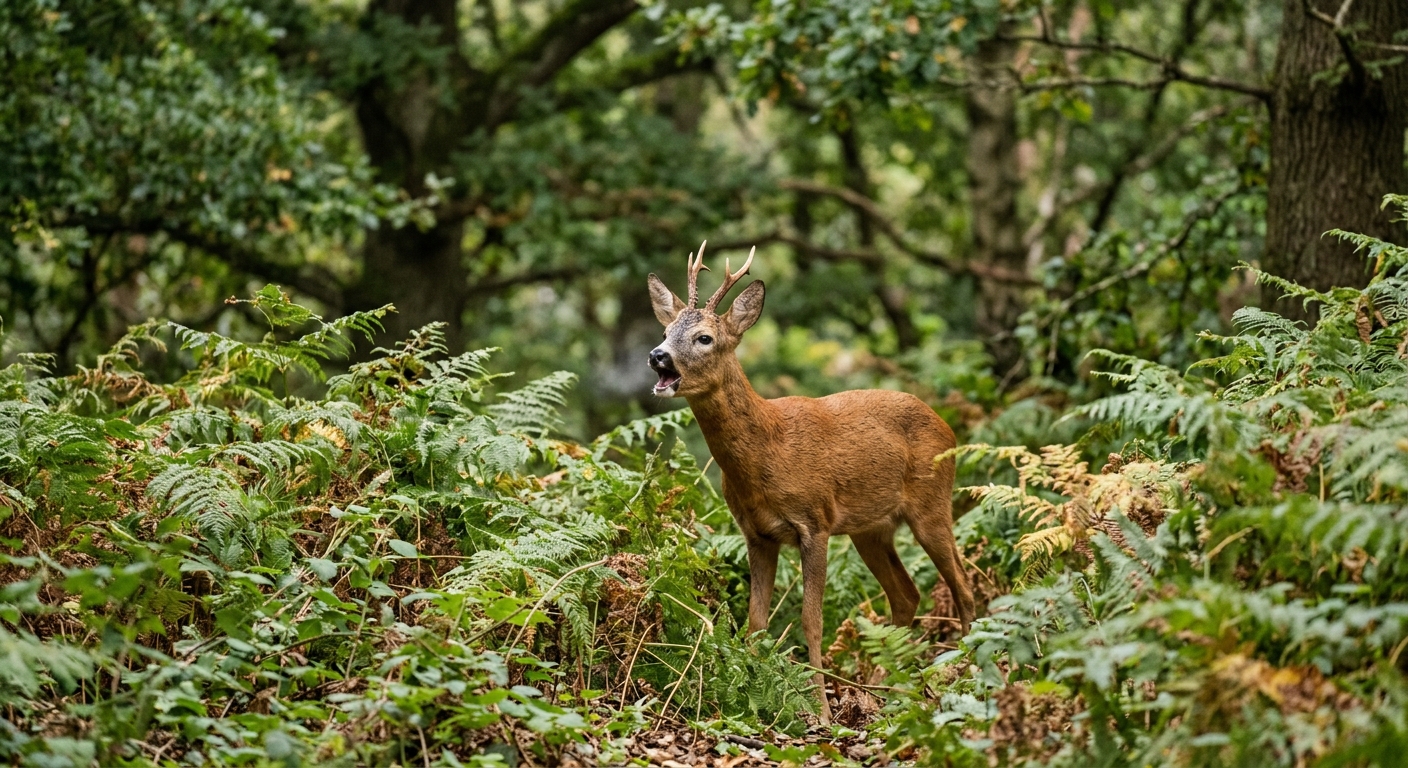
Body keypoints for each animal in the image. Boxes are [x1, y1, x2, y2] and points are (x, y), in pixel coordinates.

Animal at [646, 241, 976, 722]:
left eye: (704, 337)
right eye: (667, 329)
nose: (658, 355)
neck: (767, 453)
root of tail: (947, 426)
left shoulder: (814, 522)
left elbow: (811, 621)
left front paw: (819, 710)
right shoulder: (756, 534)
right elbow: (757, 621)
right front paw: (751, 703)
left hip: (932, 505)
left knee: (962, 586)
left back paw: (966, 673)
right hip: (869, 529)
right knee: (906, 595)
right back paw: (884, 691)